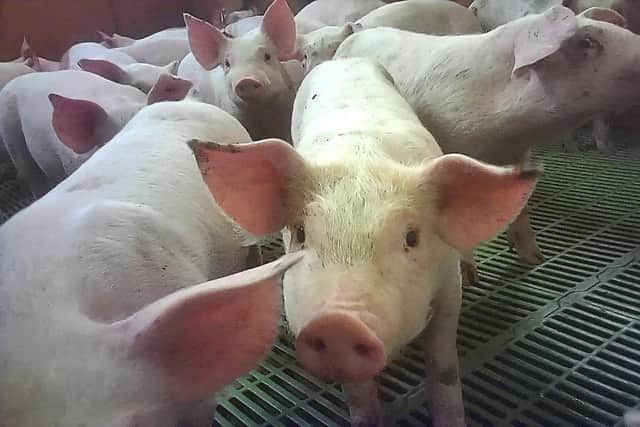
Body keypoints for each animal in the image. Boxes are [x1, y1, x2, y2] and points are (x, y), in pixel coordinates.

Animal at [188, 57, 538, 427]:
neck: (362, 157)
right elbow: (358, 392)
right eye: (300, 233)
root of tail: (339, 60)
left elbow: (443, 369)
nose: (338, 323)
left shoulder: (448, 290)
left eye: (411, 237)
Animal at [335, 6, 640, 283]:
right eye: (587, 42)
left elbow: (521, 209)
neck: (504, 137)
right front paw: (472, 278)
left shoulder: (517, 154)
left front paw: (537, 259)